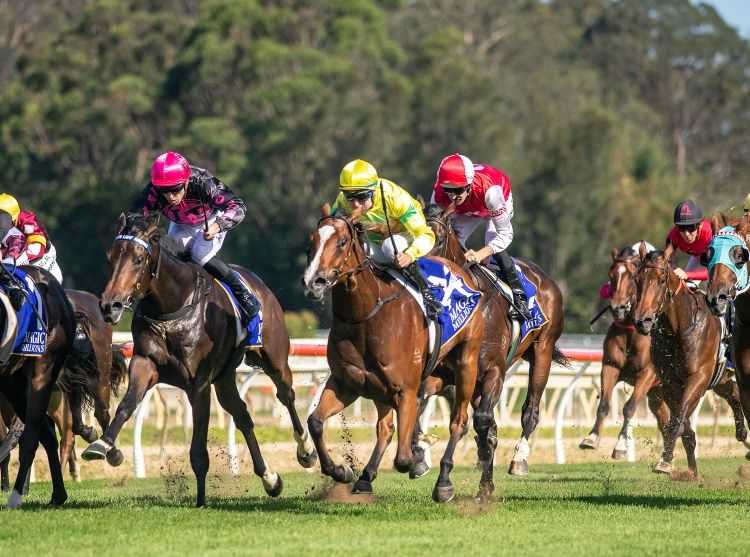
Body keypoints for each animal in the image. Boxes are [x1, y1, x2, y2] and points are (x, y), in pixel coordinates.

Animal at [83, 212, 317, 507]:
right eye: (109, 257)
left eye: (138, 259)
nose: (109, 306)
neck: (172, 306)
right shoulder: (145, 364)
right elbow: (127, 404)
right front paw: (102, 445)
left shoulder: (200, 383)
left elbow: (198, 446)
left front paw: (202, 499)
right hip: (225, 378)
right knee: (242, 415)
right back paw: (270, 479)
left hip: (274, 358)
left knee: (286, 395)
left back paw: (306, 451)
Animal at [302, 204, 484, 503]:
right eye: (311, 242)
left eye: (342, 242)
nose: (313, 282)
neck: (366, 317)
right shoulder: (346, 383)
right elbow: (315, 421)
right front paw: (341, 470)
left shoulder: (405, 390)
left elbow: (403, 459)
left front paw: (419, 457)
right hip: (388, 387)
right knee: (386, 428)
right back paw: (365, 477)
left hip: (466, 361)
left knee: (458, 421)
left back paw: (443, 482)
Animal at [422, 203, 565, 496]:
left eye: (439, 240)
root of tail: (544, 278)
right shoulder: (449, 375)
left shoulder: (493, 371)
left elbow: (483, 421)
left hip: (542, 351)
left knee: (530, 411)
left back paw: (519, 459)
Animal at [579, 246, 670, 457]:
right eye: (611, 275)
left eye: (632, 277)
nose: (618, 308)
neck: (632, 331)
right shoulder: (610, 367)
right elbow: (603, 405)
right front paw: (591, 438)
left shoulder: (647, 373)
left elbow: (629, 407)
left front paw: (620, 445)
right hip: (658, 393)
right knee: (666, 421)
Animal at [632, 243, 748, 476]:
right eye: (637, 279)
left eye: (661, 279)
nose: (642, 321)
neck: (678, 330)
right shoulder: (668, 383)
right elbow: (683, 425)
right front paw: (692, 473)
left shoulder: (699, 378)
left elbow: (678, 421)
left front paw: (665, 461)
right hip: (720, 381)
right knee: (734, 395)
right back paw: (742, 434)